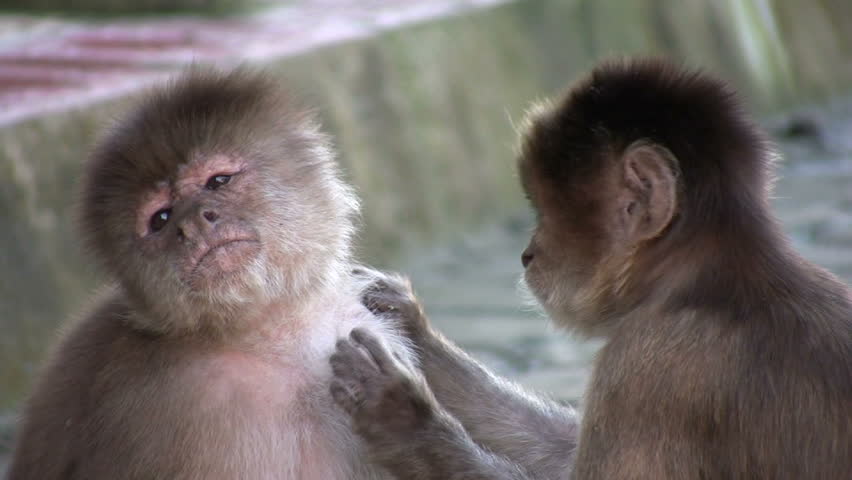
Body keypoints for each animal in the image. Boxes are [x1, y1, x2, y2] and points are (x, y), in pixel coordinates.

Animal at [329, 58, 852, 480]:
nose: (528, 253)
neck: (702, 282)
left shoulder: (646, 364)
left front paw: (403, 416)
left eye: (544, 210)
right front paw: (410, 327)